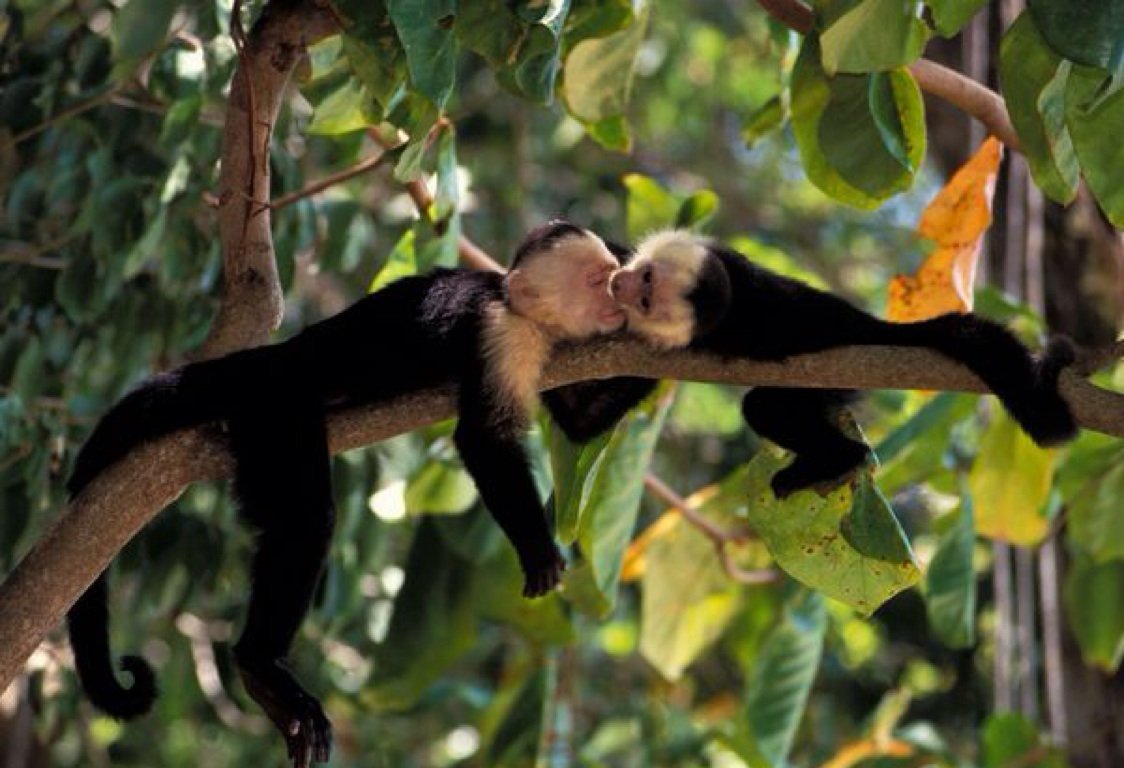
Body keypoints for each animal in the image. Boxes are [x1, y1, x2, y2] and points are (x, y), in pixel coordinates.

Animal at [65, 220, 626, 768]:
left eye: (612, 276)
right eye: (598, 280)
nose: (619, 298)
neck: (519, 308)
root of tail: (275, 358)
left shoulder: (555, 353)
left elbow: (579, 424)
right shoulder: (501, 335)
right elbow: (484, 439)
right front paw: (537, 551)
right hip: (276, 408)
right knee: (307, 520)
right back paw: (261, 666)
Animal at [548, 230, 1076, 496]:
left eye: (647, 297)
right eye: (644, 278)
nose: (622, 285)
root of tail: (871, 328)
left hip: (836, 370)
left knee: (765, 407)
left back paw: (838, 458)